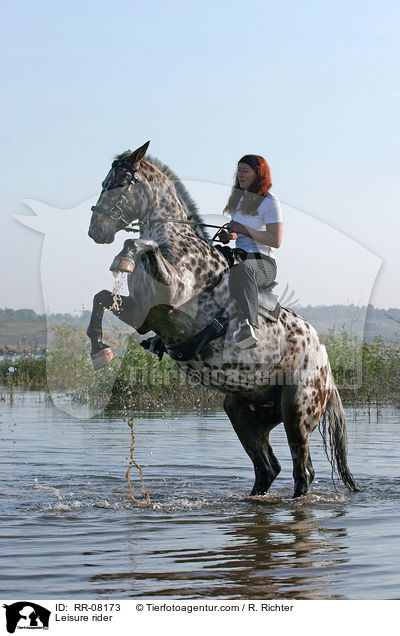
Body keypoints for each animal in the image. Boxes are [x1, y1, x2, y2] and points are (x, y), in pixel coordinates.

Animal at [87, 142, 360, 500]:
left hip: (297, 410)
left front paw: (123, 258)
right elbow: (101, 297)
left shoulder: (170, 298)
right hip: (242, 411)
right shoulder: (141, 312)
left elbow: (136, 243)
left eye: (119, 183)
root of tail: (325, 362)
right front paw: (99, 350)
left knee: (303, 472)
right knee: (268, 468)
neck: (175, 243)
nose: (96, 231)